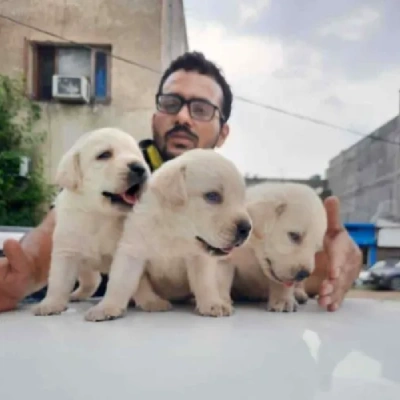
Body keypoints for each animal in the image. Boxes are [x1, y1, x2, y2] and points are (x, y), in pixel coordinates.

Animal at [32, 127, 150, 316]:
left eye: (138, 155)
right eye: (104, 155)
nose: (140, 168)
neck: (99, 215)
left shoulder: (127, 251)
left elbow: (120, 281)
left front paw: (107, 308)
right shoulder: (67, 249)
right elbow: (59, 281)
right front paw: (50, 304)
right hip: (84, 264)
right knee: (92, 279)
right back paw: (77, 294)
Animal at [83, 148, 253, 320]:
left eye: (241, 199)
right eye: (212, 196)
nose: (246, 229)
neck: (175, 230)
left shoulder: (199, 258)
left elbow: (205, 283)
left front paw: (213, 303)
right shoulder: (132, 251)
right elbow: (120, 282)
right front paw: (106, 307)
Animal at [223, 181, 326, 312]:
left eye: (316, 250)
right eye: (294, 236)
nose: (303, 274)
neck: (253, 251)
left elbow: (283, 285)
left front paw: (283, 300)